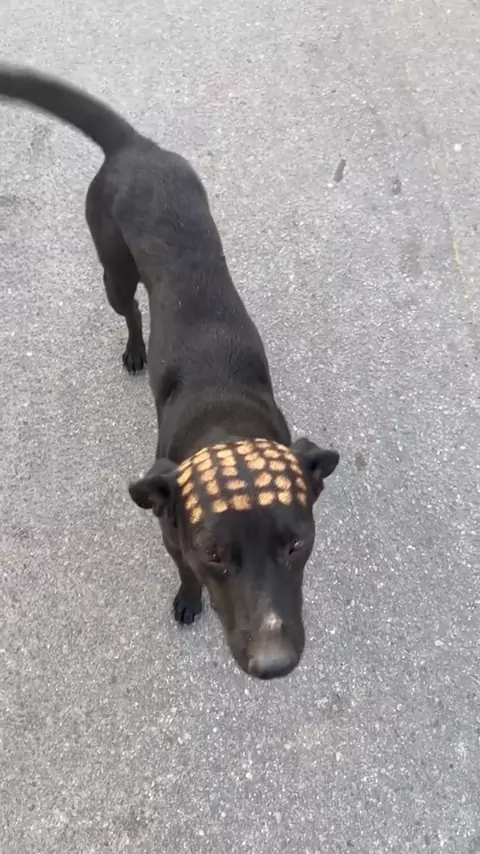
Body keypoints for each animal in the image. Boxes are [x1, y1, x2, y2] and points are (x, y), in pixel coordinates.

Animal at [0, 64, 339, 680]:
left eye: (296, 544)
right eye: (213, 554)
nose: (273, 663)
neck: (227, 420)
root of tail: (135, 145)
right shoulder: (169, 537)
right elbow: (182, 573)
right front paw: (187, 599)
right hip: (113, 270)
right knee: (133, 311)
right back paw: (136, 350)